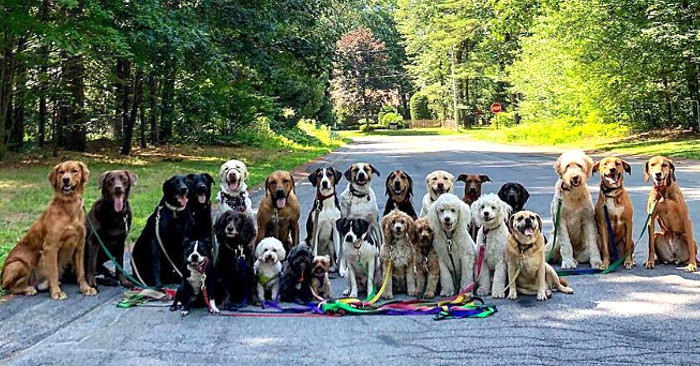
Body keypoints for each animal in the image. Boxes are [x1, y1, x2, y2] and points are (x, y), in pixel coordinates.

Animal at [0, 162, 96, 298]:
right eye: (61, 172)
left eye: (74, 171)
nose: (65, 179)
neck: (69, 206)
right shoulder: (51, 247)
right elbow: (54, 272)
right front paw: (56, 292)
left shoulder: (79, 246)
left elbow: (81, 272)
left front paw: (86, 288)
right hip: (19, 264)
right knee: (11, 288)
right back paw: (28, 289)